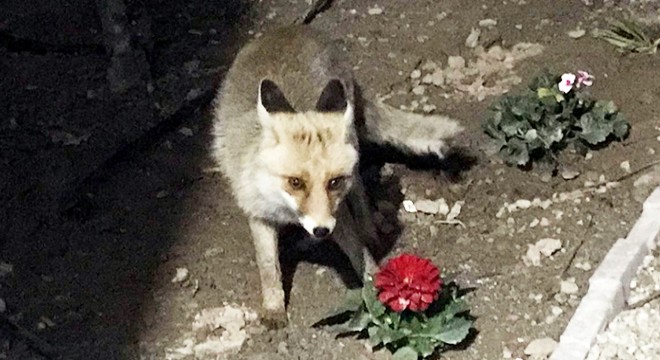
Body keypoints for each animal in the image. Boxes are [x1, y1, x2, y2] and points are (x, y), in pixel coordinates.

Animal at [209, 26, 462, 330]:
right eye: (296, 182)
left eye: (334, 182)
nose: (321, 231)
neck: (287, 212)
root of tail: (290, 28)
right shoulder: (258, 213)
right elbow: (268, 268)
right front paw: (274, 307)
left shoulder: (338, 214)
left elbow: (361, 256)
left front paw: (379, 292)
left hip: (353, 143)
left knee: (361, 192)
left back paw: (369, 227)